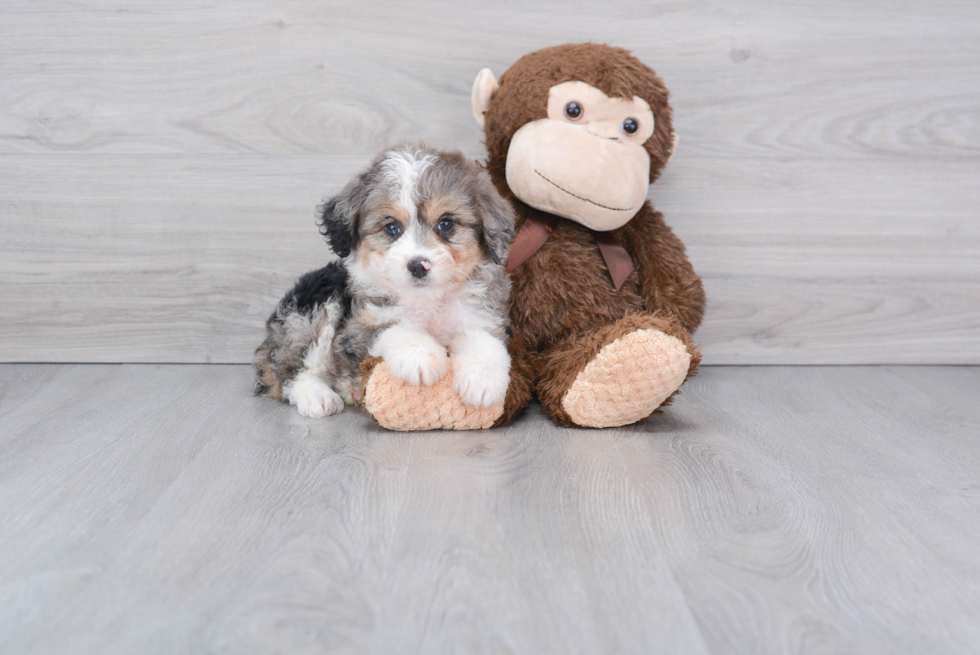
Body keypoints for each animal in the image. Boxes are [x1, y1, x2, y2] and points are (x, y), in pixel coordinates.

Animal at [251, 145, 512, 418]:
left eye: (446, 223)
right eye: (392, 228)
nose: (418, 265)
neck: (427, 299)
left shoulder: (481, 315)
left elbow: (483, 340)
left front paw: (482, 380)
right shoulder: (357, 329)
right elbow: (392, 327)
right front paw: (419, 355)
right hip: (316, 302)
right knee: (289, 367)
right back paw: (317, 396)